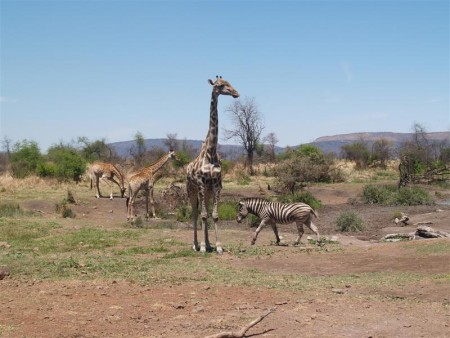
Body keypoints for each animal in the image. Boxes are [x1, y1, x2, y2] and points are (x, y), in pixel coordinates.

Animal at [185, 74, 239, 254]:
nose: (236, 93)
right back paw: (196, 244)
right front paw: (201, 246)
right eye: (220, 85)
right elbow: (202, 215)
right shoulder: (202, 185)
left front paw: (218, 246)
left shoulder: (216, 185)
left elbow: (214, 215)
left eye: (229, 83)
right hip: (192, 190)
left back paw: (208, 244)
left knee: (206, 211)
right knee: (195, 213)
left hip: (206, 192)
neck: (210, 152)